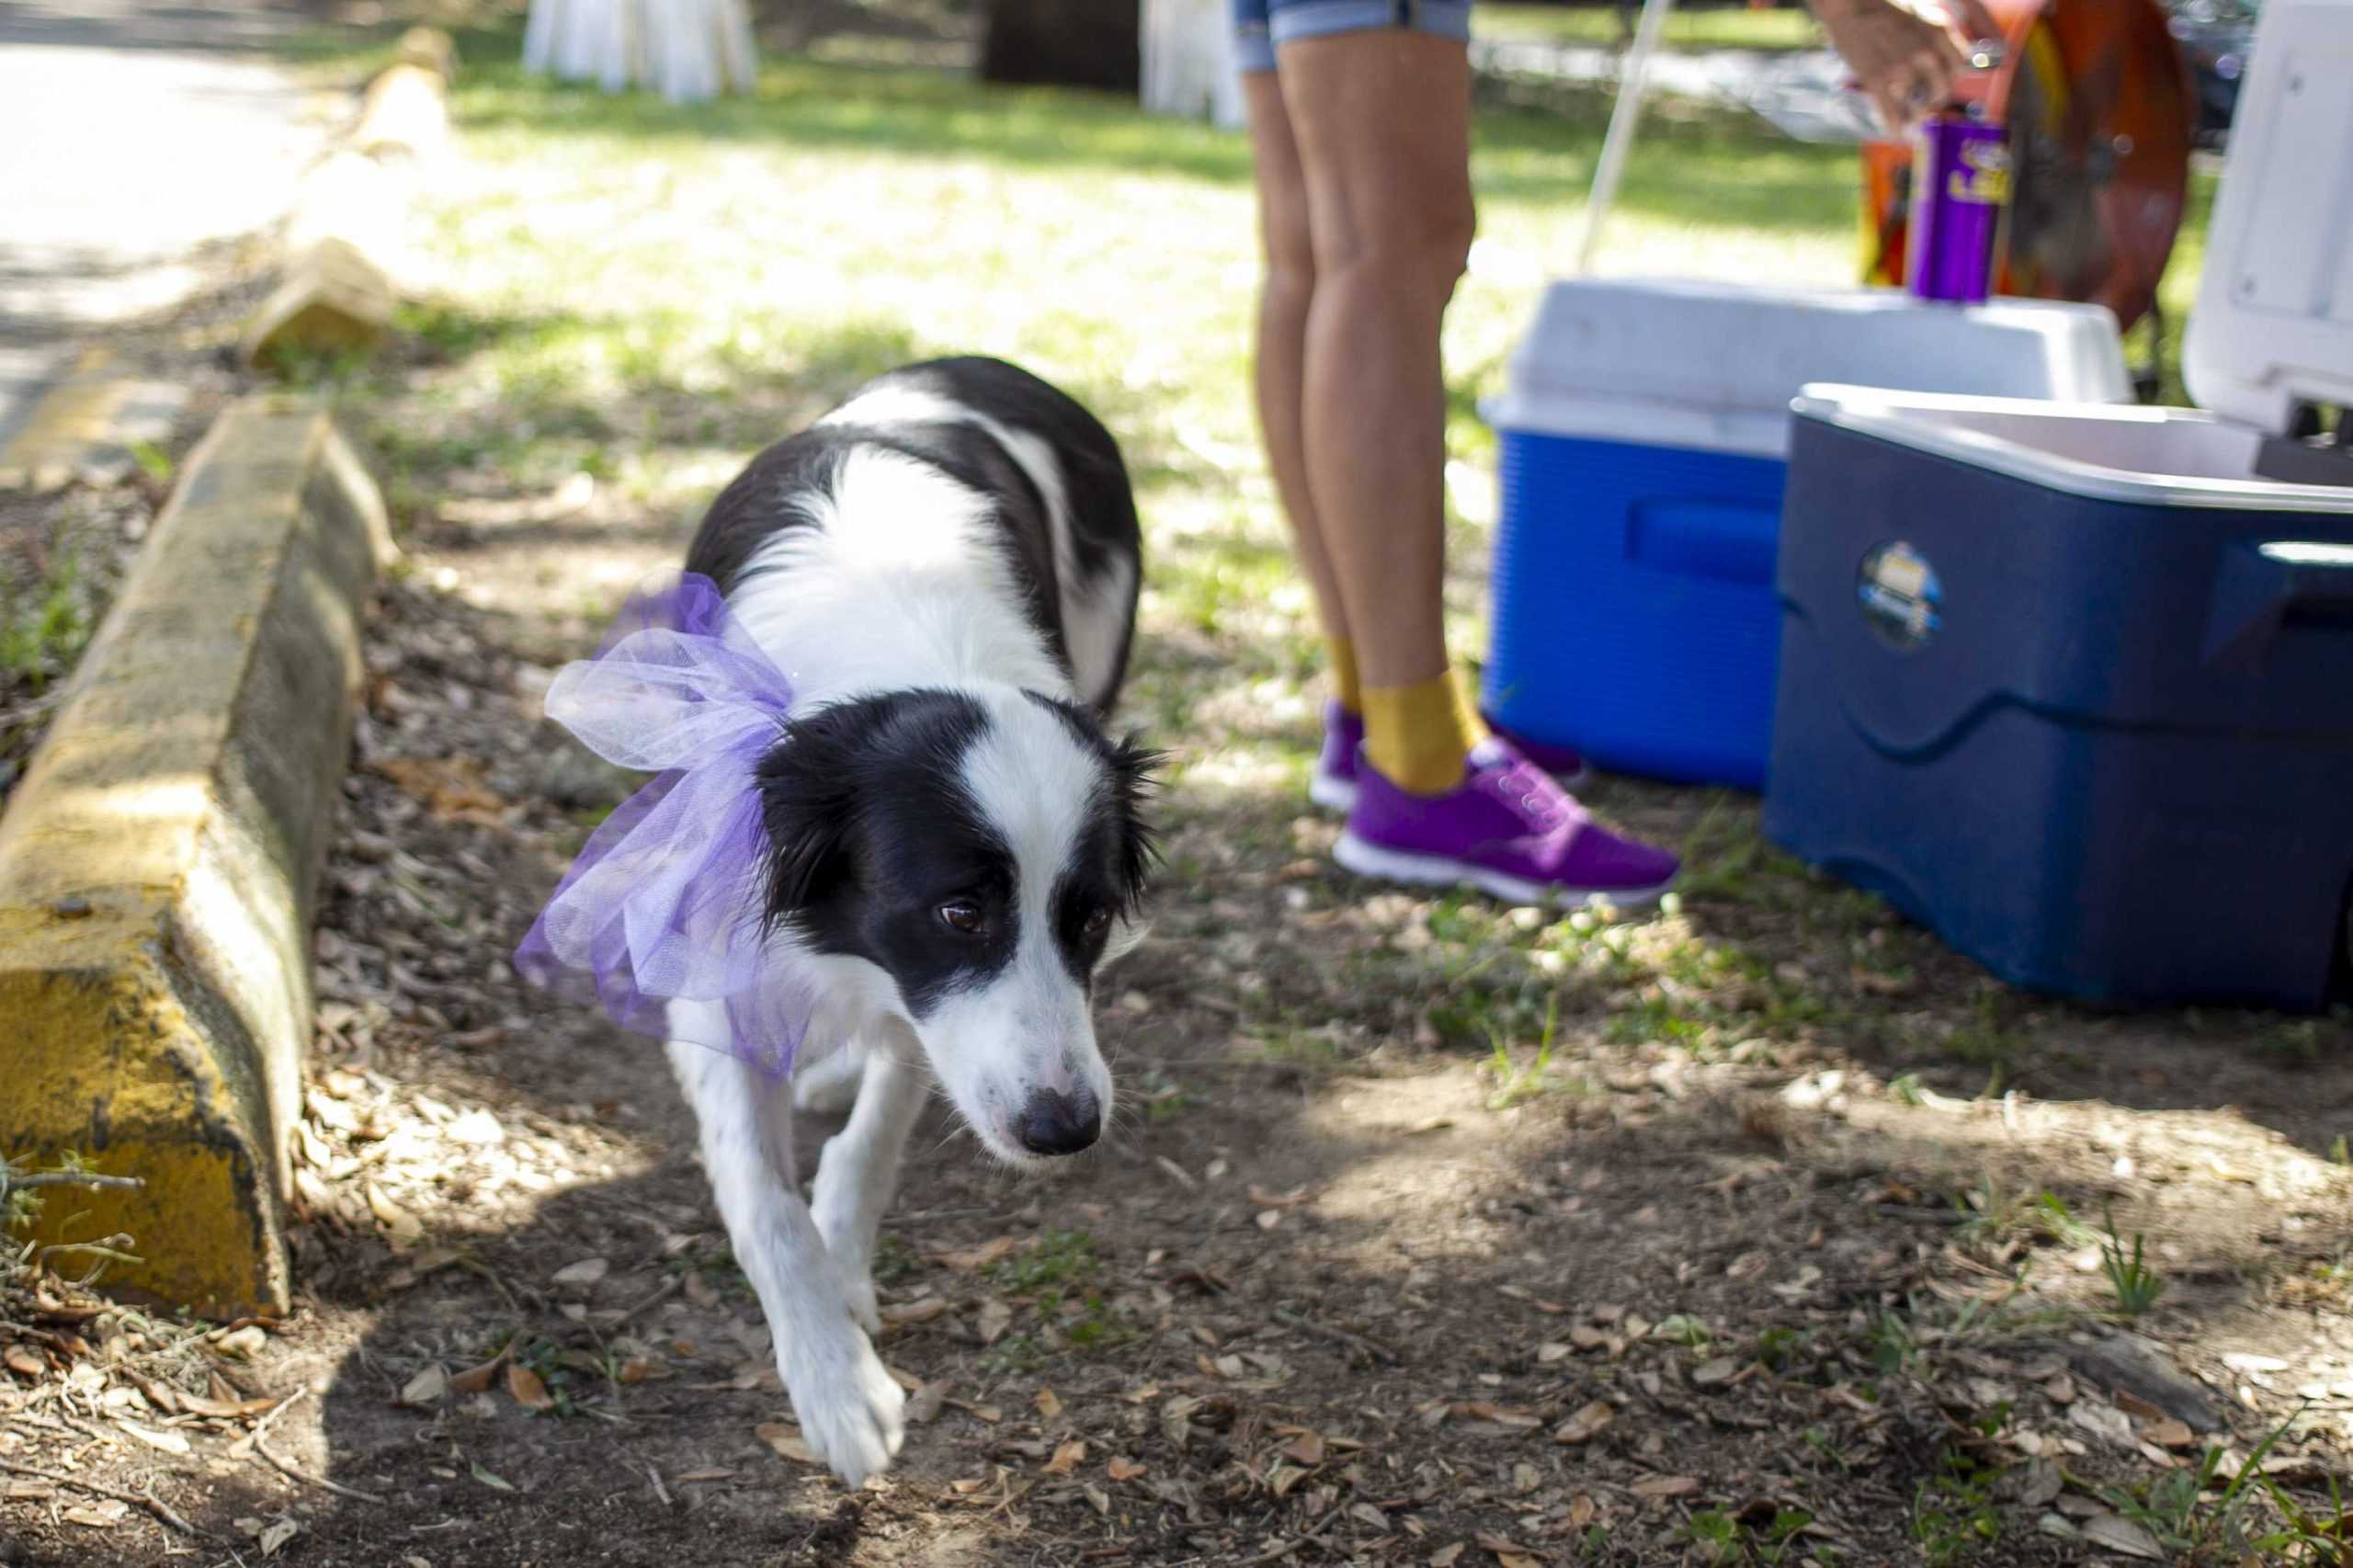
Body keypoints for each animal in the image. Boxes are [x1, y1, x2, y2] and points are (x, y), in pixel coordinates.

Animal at [668, 359, 1153, 1487]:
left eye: (1092, 917)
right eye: (960, 909)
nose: (1066, 1130)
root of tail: (982, 366)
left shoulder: (928, 1009)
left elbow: (881, 1125)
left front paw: (845, 1275)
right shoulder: (716, 968)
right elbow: (762, 1199)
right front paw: (836, 1385)